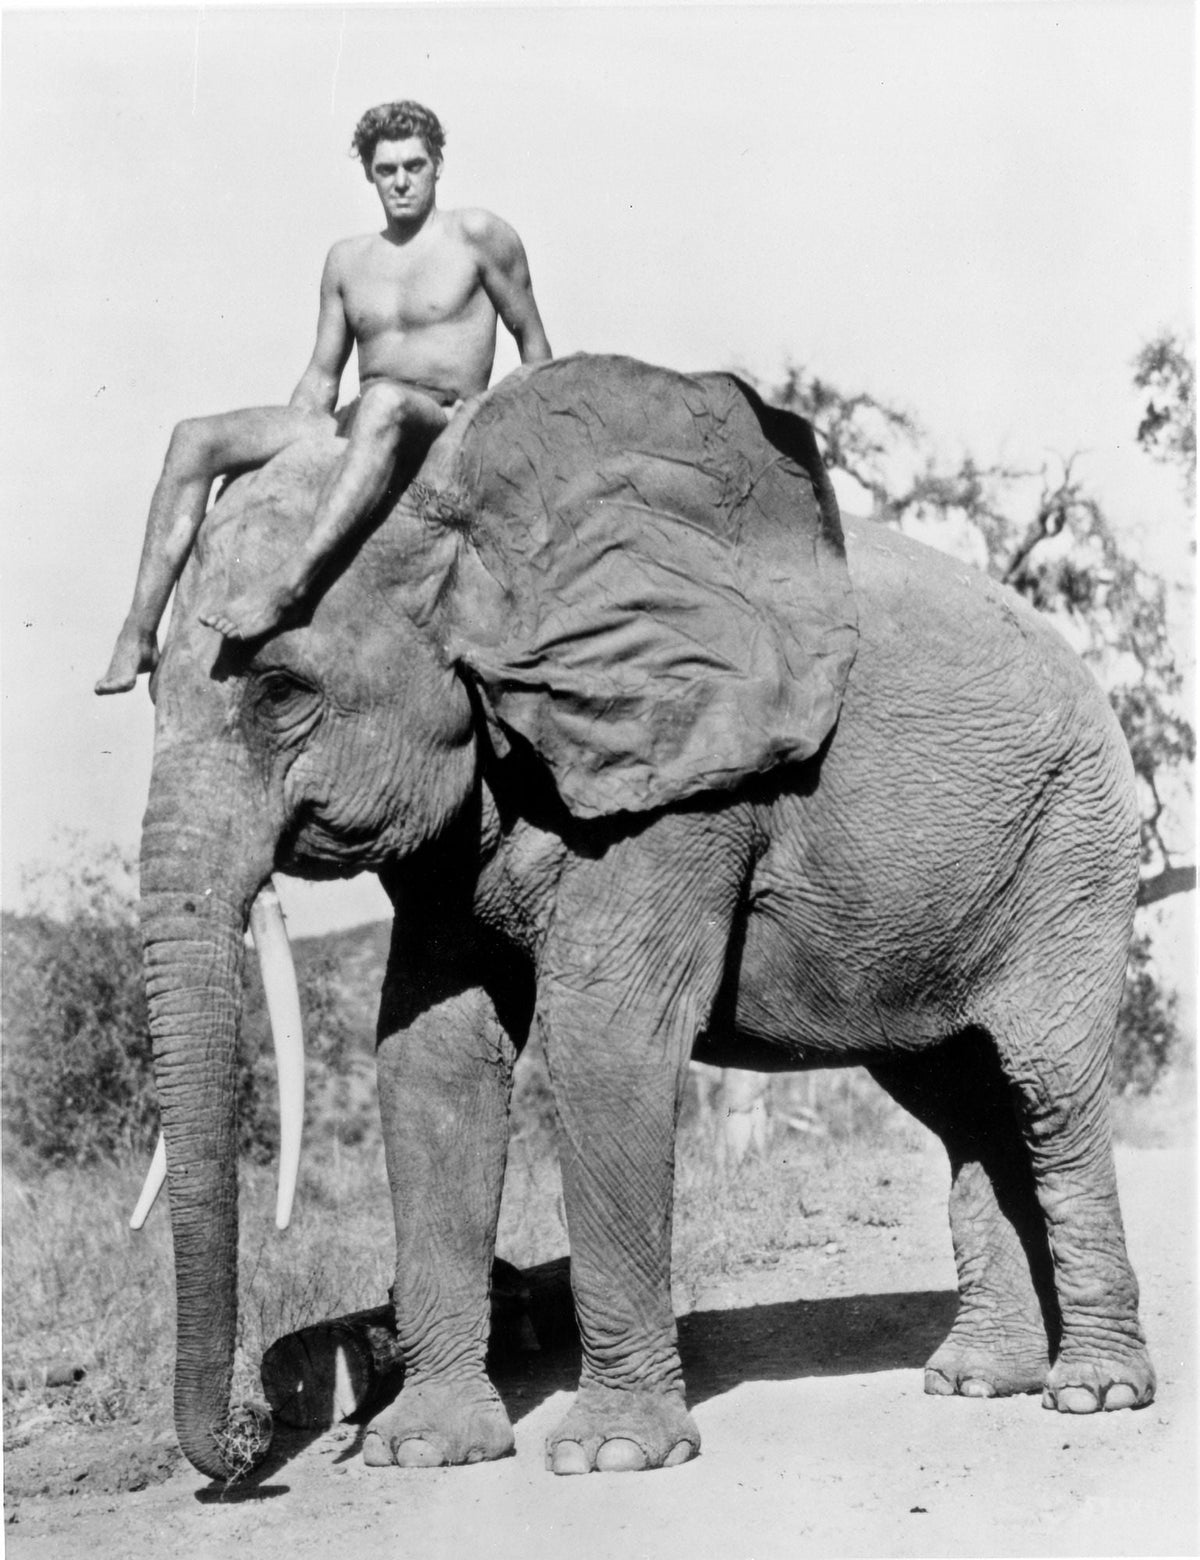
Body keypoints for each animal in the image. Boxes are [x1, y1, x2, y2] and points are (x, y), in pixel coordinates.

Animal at [133, 353, 1154, 1483]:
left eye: (278, 691)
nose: (246, 1449)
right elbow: (431, 1053)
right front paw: (425, 1452)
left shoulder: (688, 775)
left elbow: (605, 1036)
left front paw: (611, 1457)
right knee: (960, 1097)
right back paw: (978, 1380)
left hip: (1073, 848)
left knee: (1048, 1087)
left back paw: (1094, 1392)